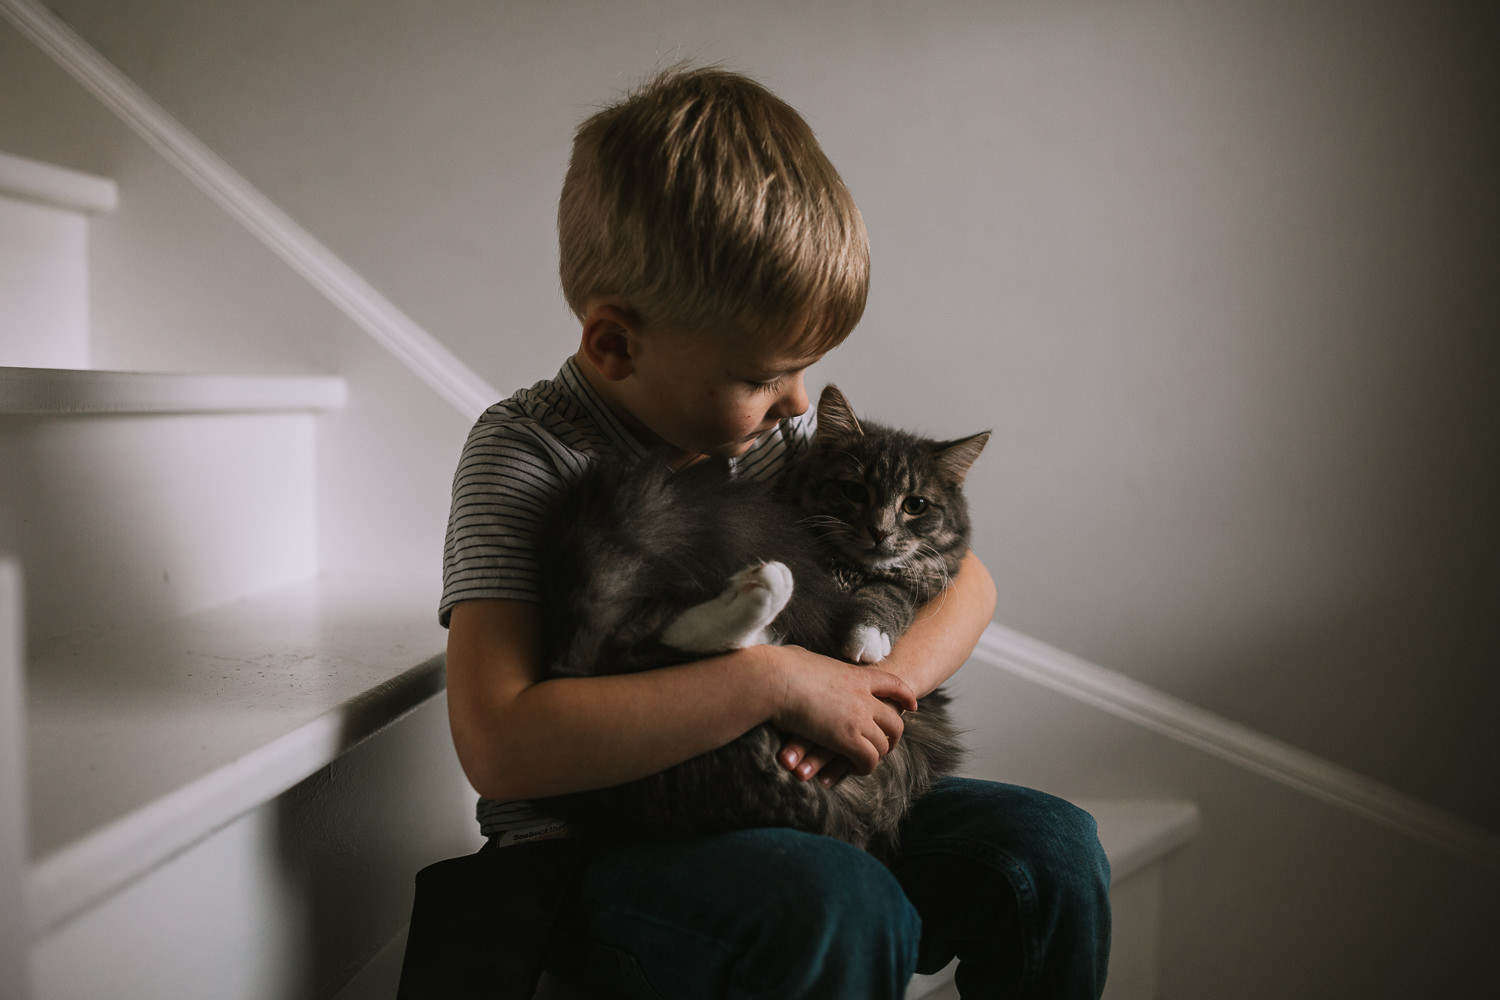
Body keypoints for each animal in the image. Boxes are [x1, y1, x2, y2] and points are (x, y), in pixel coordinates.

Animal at [534, 386, 990, 863]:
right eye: (854, 491)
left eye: (914, 505)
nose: (880, 532)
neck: (845, 569)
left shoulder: (918, 588)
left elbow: (887, 598)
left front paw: (867, 638)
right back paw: (768, 584)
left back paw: (764, 585)